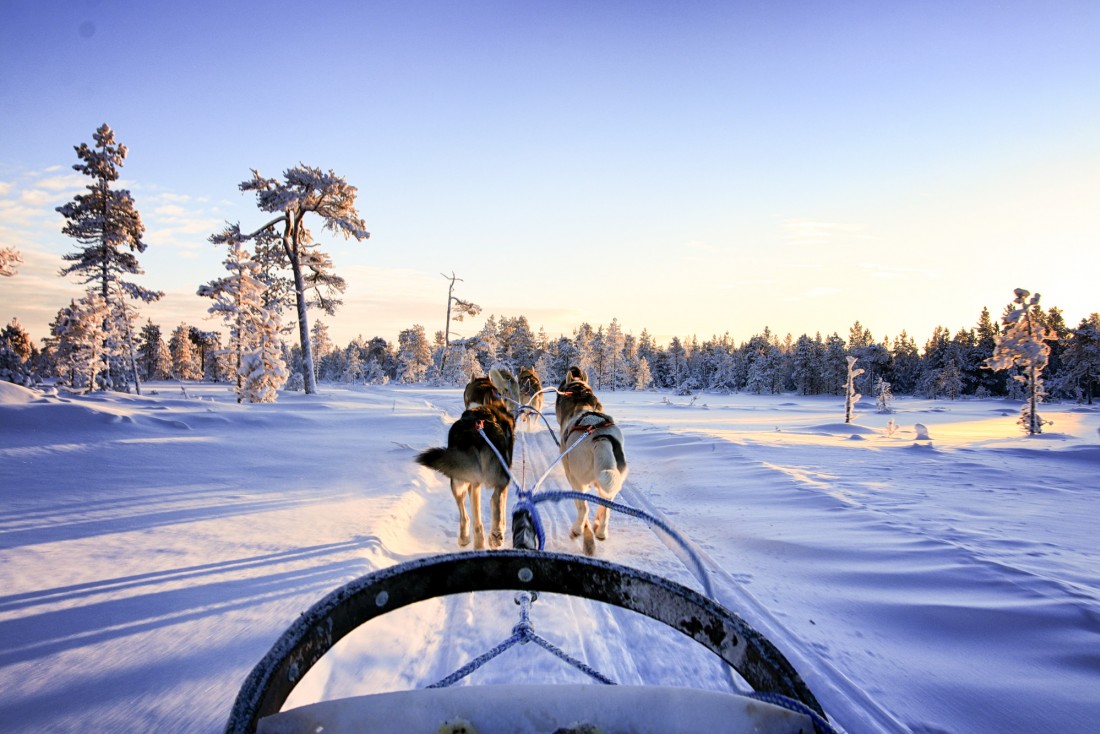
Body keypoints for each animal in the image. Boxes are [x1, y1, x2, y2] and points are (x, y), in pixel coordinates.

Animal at [418, 369, 517, 548]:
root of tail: (475, 434)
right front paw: (501, 528)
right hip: (496, 477)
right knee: (494, 501)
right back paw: (495, 536)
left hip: (460, 481)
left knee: (470, 519)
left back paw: (471, 541)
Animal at [558, 365, 629, 554]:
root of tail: (600, 438)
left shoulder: (570, 474)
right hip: (611, 484)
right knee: (605, 510)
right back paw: (600, 531)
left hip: (578, 482)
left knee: (584, 508)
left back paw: (577, 530)